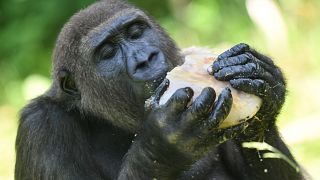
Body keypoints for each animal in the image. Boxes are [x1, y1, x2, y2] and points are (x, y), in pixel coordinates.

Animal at [15, 0, 304, 180]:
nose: (146, 58)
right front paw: (163, 144)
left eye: (135, 32)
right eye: (108, 53)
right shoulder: (42, 128)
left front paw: (264, 83)